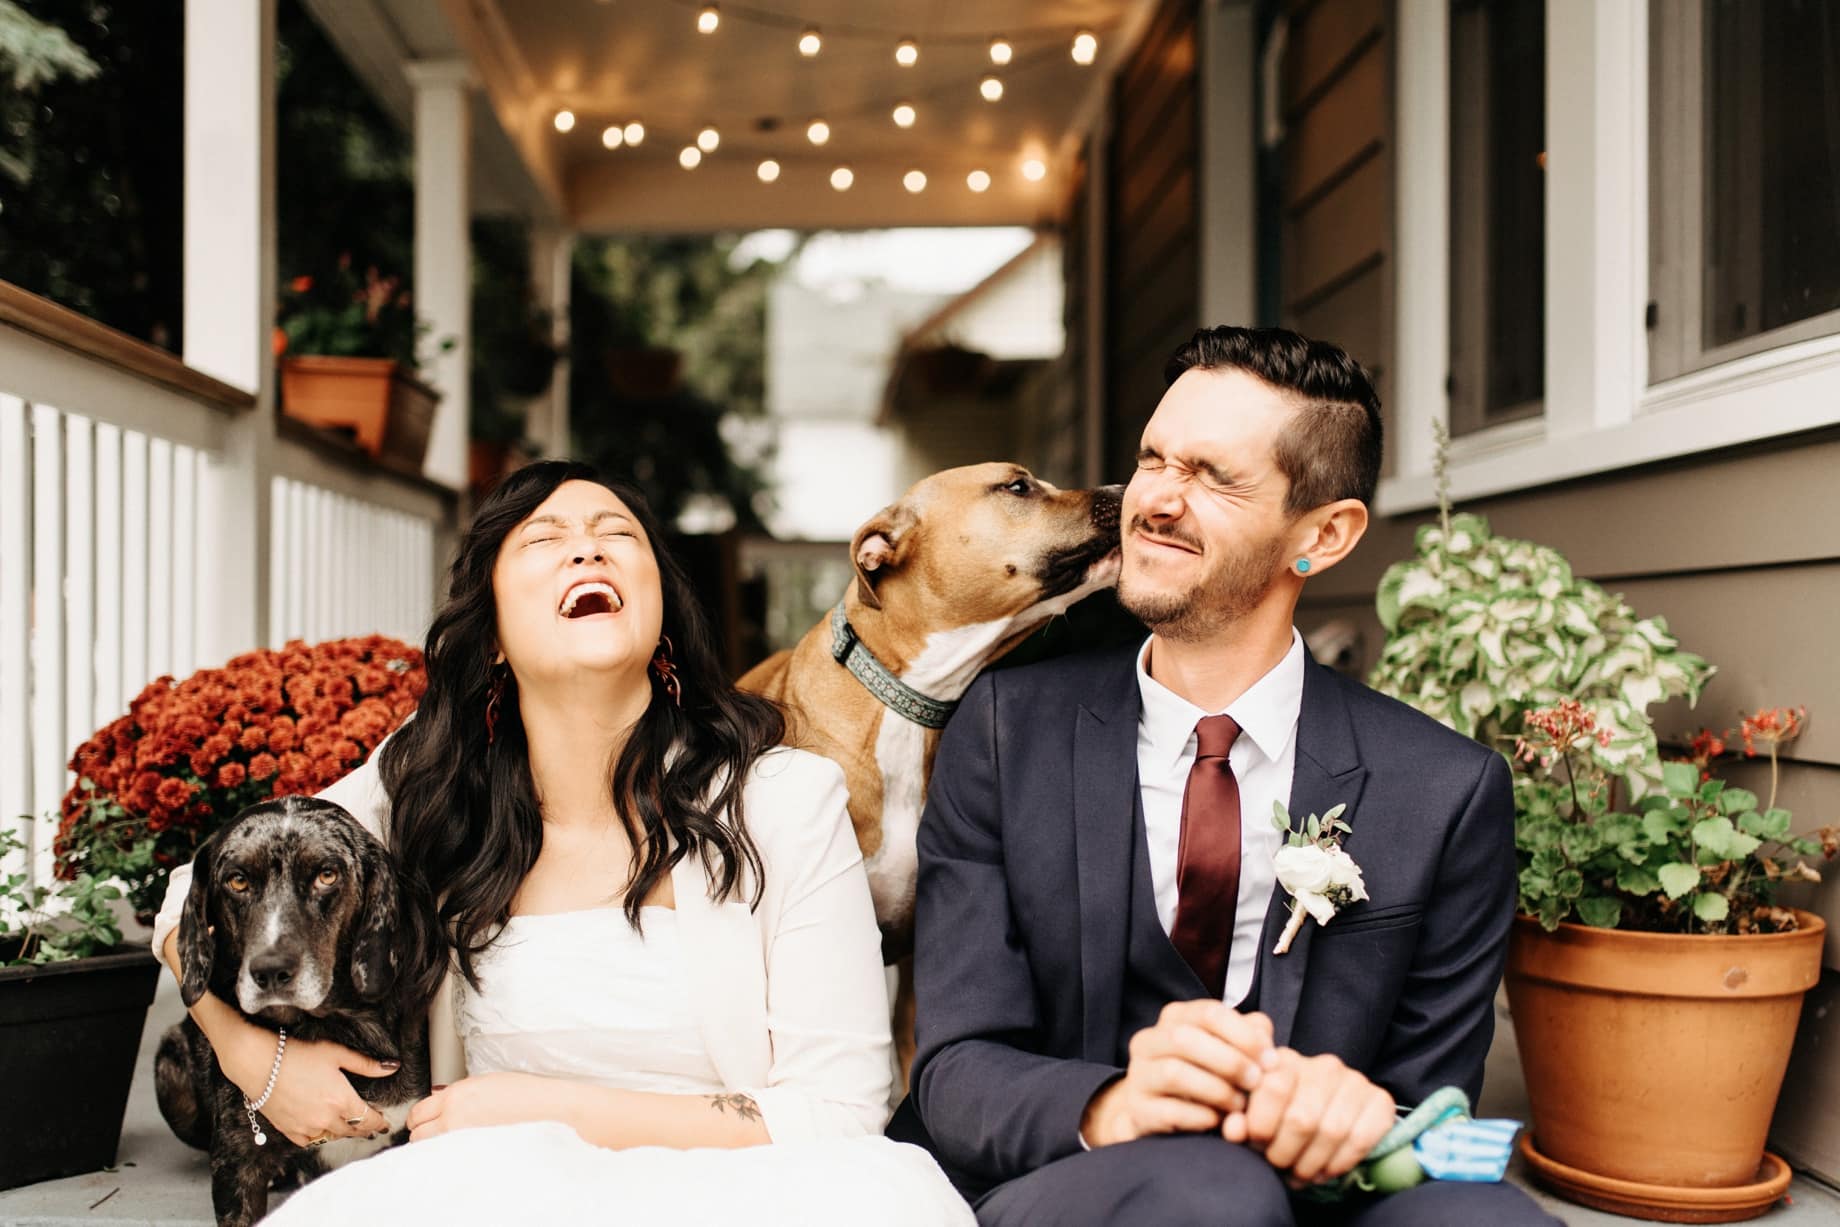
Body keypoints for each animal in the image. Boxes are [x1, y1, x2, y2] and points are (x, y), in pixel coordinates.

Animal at [152, 798, 432, 1227]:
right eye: (237, 881)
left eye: (326, 875)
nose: (270, 971)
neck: (329, 1026)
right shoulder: (237, 1169)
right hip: (170, 1074)